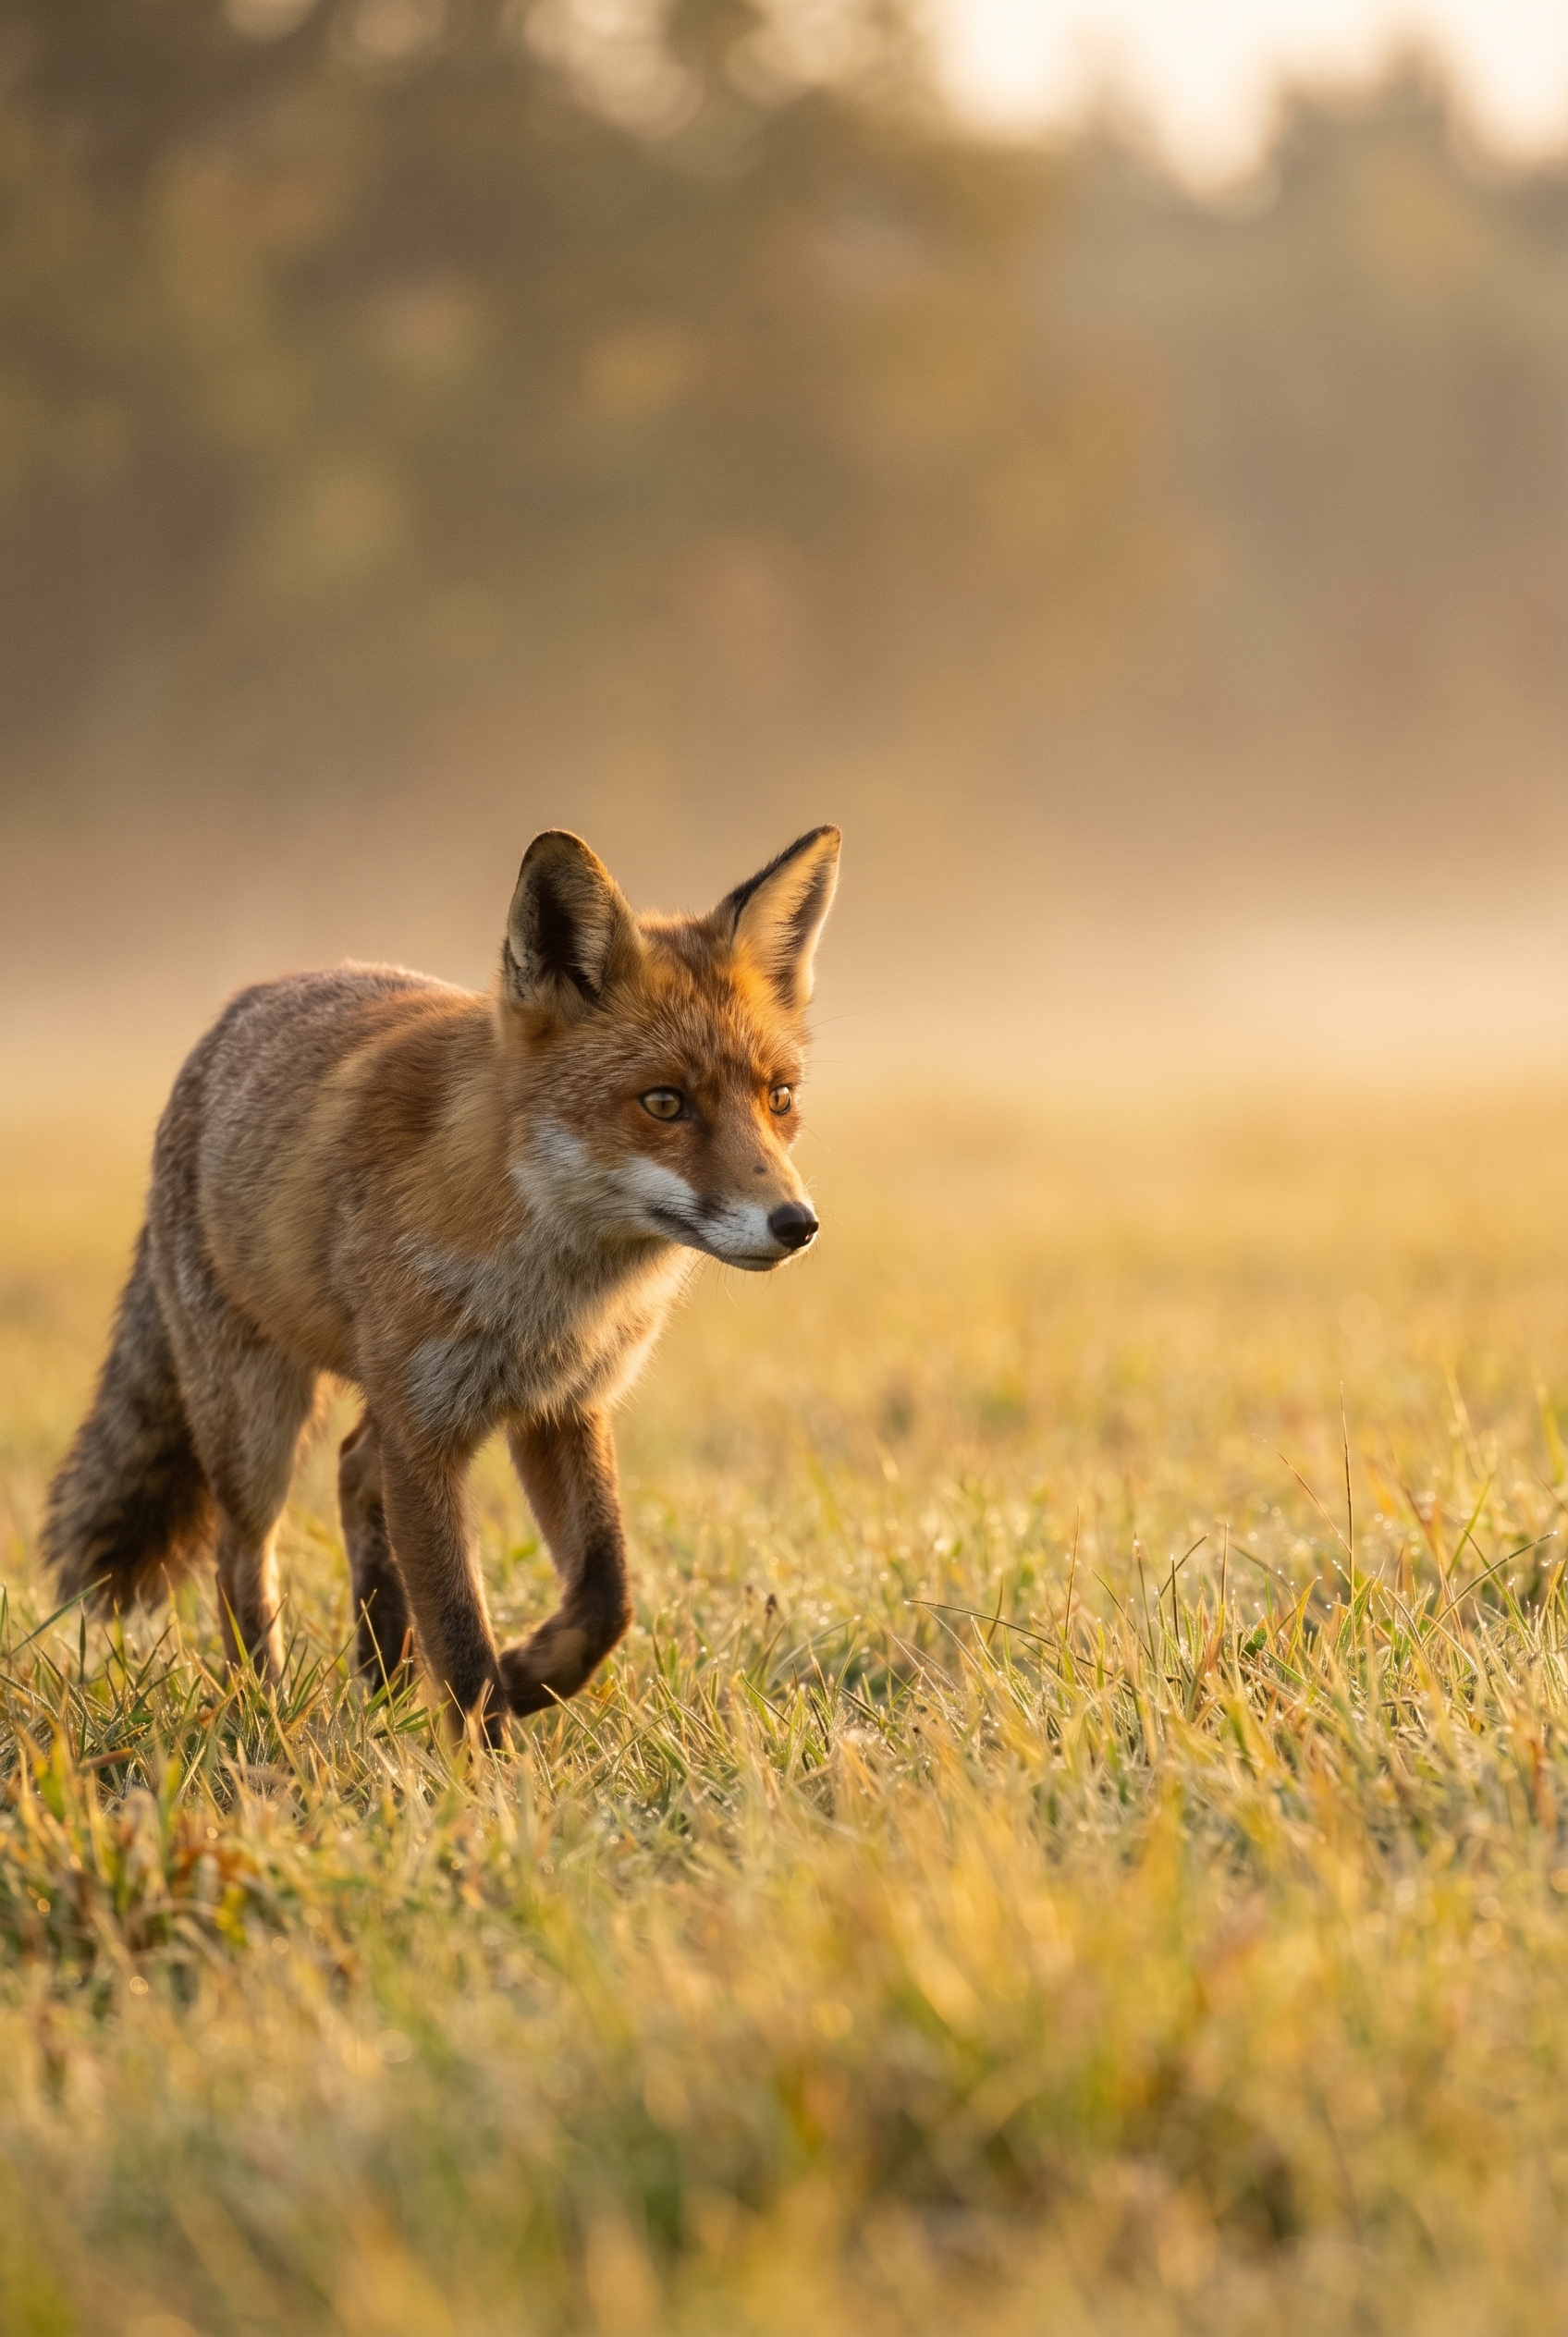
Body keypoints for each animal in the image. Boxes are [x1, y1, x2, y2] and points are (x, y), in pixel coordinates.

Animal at [40, 823, 840, 1738]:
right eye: (665, 1103)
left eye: (779, 1097)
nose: (796, 1223)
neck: (549, 1296)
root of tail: (230, 1016)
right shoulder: (427, 1434)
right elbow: (460, 1634)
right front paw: (493, 1761)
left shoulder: (564, 1410)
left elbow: (608, 1597)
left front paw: (531, 1675)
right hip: (257, 1424)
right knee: (240, 1559)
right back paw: (265, 1707)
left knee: (354, 1469)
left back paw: (383, 1671)